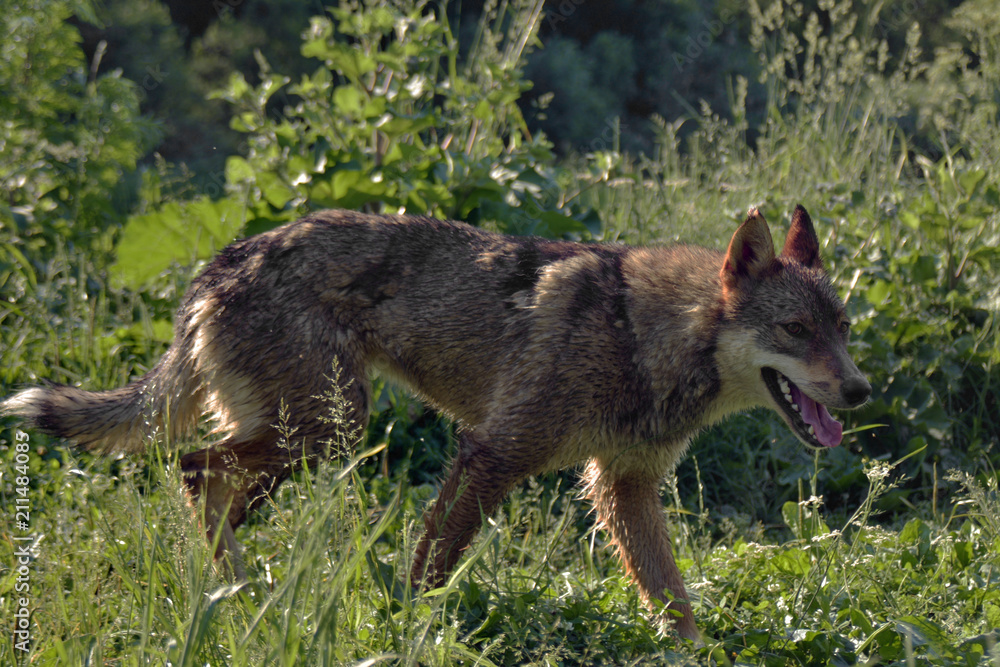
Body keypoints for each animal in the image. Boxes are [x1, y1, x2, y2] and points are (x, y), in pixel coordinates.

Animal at [2, 205, 870, 641]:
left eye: (843, 327)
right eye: (796, 330)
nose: (860, 391)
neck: (642, 334)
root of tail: (217, 265)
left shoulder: (624, 491)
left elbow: (677, 607)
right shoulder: (492, 456)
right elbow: (430, 573)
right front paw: (411, 634)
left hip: (309, 440)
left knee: (207, 490)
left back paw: (242, 595)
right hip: (326, 432)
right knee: (192, 472)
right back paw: (242, 596)